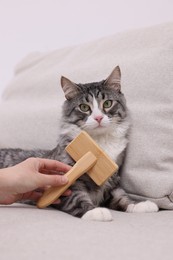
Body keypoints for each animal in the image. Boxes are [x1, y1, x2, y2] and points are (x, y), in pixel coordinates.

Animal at [0, 66, 158, 220]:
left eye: (107, 103)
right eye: (84, 107)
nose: (98, 118)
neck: (98, 144)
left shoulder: (112, 181)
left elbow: (123, 196)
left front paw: (140, 204)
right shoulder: (70, 184)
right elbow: (77, 199)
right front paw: (95, 211)